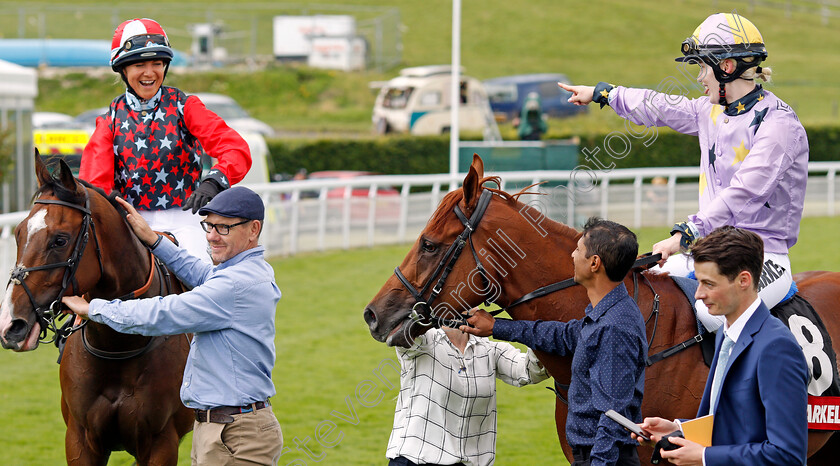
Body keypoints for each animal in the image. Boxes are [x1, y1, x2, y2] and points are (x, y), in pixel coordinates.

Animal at [0, 155, 192, 464]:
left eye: (60, 240)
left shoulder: (161, 443)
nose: (10, 325)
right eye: (18, 234)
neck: (119, 345)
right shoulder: (80, 439)